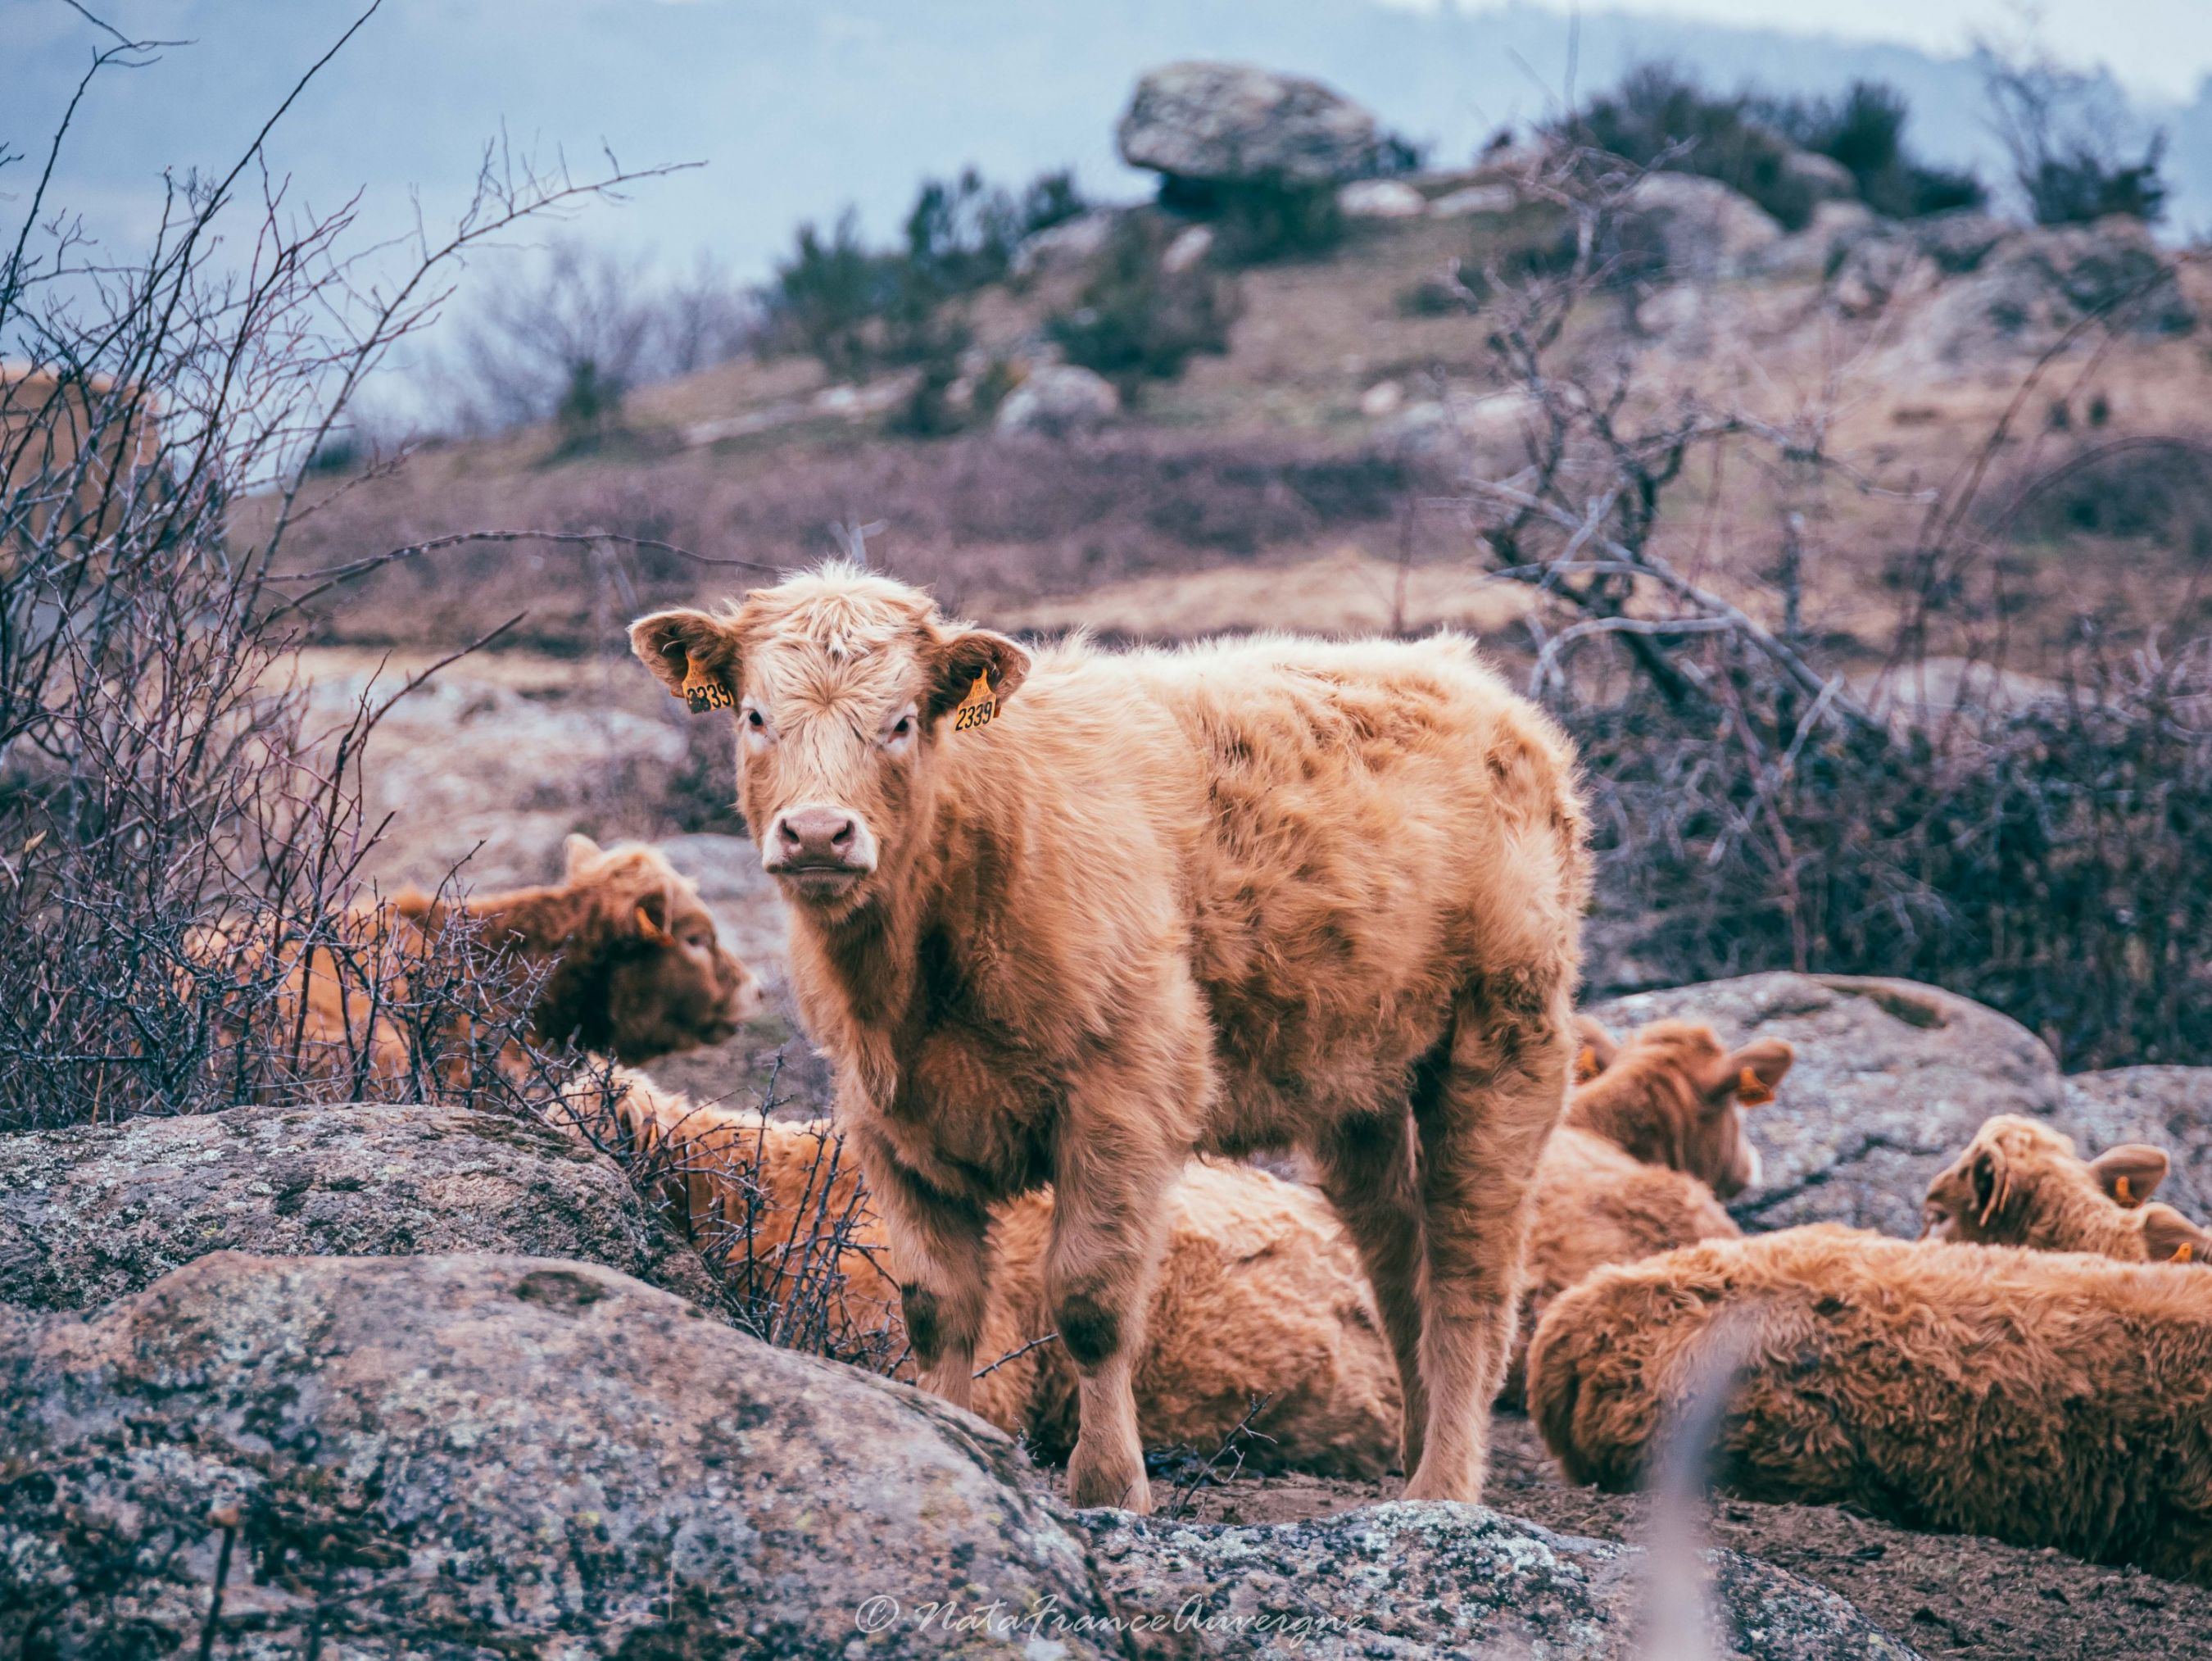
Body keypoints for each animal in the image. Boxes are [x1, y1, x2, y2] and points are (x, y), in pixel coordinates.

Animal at [632, 565, 1584, 1513]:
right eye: (755, 715)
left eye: (901, 721)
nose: (819, 832)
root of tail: (1469, 681)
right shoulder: (887, 1120)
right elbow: (937, 1307)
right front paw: (957, 1439)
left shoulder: (1123, 1095)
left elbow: (1091, 1301)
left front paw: (1110, 1482)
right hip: (1362, 1083)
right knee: (1396, 1262)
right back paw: (1417, 1465)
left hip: (1503, 1045)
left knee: (1469, 1274)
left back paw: (1446, 1484)